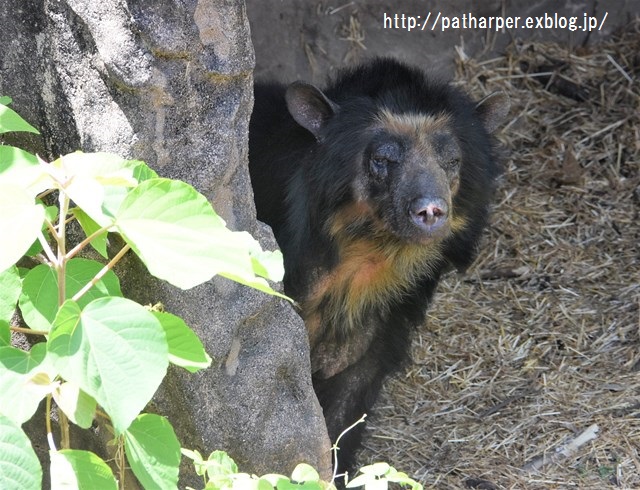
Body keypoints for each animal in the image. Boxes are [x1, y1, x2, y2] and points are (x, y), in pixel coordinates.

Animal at [248, 56, 508, 474]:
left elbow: (351, 394)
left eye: (451, 162)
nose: (431, 210)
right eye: (383, 160)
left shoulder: (387, 315)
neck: (370, 254)